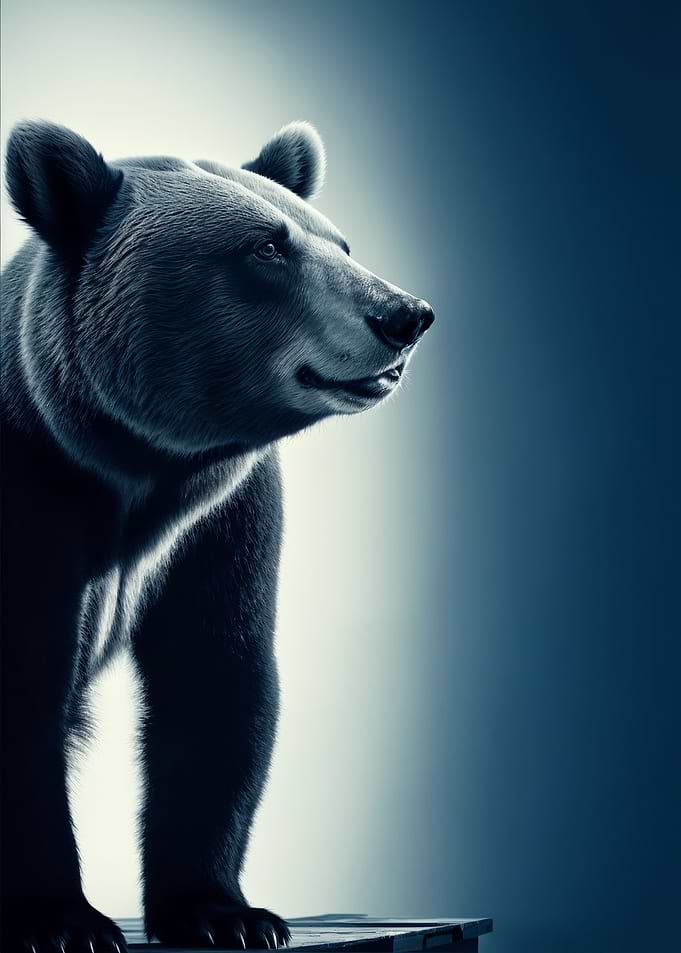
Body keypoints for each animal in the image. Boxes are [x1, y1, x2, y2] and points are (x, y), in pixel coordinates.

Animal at [0, 119, 434, 952]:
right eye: (267, 247)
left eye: (340, 243)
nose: (404, 314)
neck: (133, 473)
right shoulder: (31, 495)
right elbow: (25, 688)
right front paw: (63, 920)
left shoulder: (222, 518)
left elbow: (215, 680)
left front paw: (225, 913)